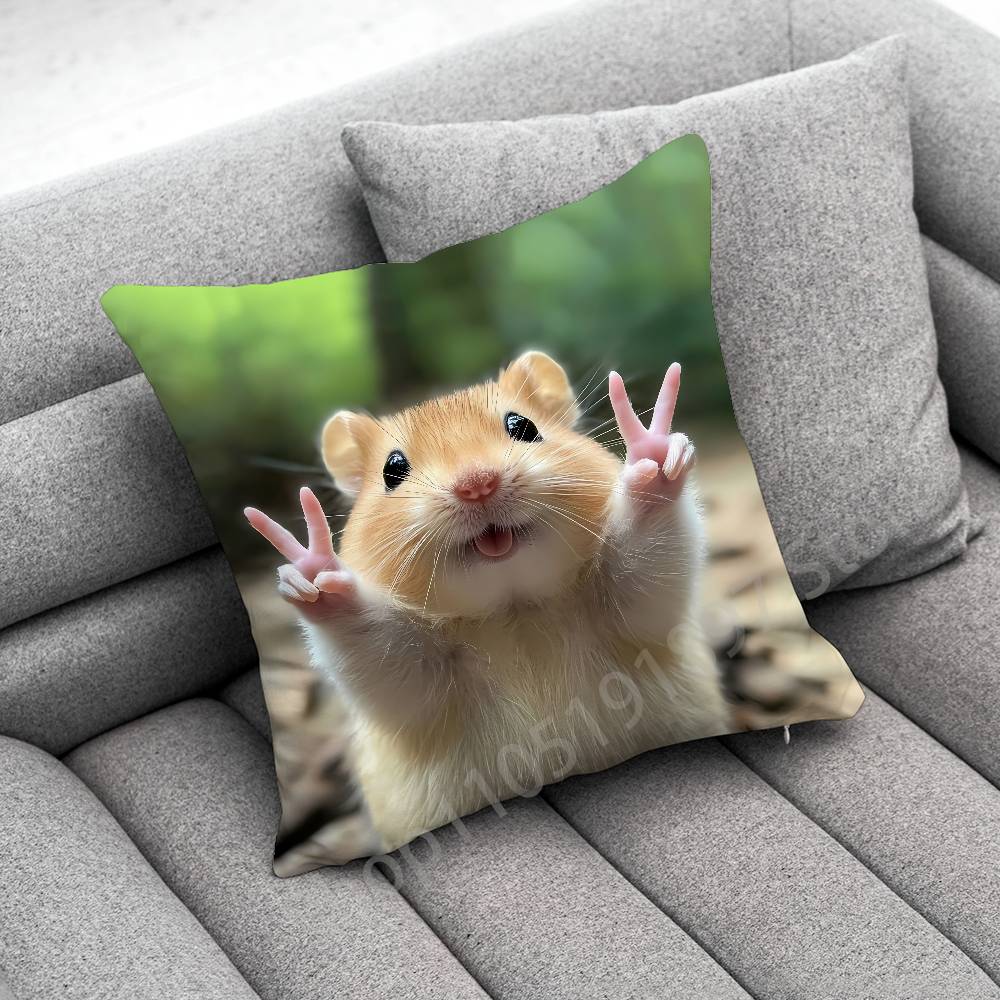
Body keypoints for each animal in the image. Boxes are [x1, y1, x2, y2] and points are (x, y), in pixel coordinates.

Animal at [245, 351, 730, 855]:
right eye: (392, 470)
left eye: (523, 426)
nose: (478, 485)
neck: (513, 608)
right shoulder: (414, 683)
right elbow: (376, 652)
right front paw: (314, 570)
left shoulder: (628, 611)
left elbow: (642, 576)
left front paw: (653, 458)